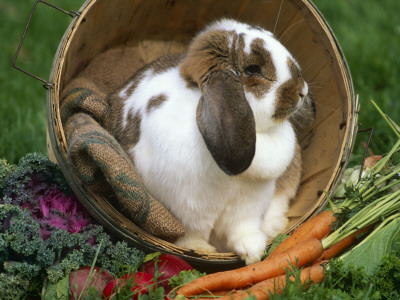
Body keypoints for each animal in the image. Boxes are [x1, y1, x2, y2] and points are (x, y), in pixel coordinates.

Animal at [108, 18, 316, 264]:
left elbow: (242, 228)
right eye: (253, 69)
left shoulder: (248, 206)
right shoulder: (188, 208)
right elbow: (192, 233)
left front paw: (253, 252)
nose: (302, 91)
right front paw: (199, 250)